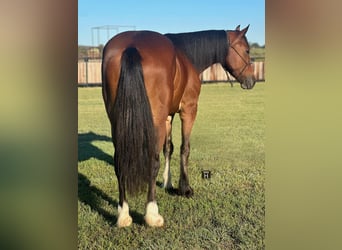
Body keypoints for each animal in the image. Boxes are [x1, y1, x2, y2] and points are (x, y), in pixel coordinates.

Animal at [101, 24, 254, 227]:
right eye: (247, 50)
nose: (252, 80)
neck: (187, 56)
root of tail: (131, 47)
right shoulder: (188, 110)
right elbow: (184, 148)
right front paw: (185, 188)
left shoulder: (168, 116)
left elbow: (169, 148)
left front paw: (168, 182)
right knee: (152, 162)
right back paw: (152, 214)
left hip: (117, 122)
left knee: (120, 162)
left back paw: (123, 214)